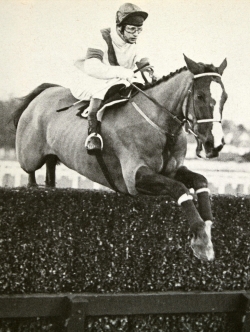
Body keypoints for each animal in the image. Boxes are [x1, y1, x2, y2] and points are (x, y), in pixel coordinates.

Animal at [11, 55, 228, 262]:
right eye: (200, 96)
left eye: (225, 97)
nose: (214, 144)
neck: (160, 125)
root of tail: (45, 92)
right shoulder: (134, 177)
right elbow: (179, 188)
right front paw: (201, 241)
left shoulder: (172, 170)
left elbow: (201, 180)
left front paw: (207, 230)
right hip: (29, 156)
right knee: (30, 171)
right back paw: (32, 187)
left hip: (51, 154)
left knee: (50, 168)